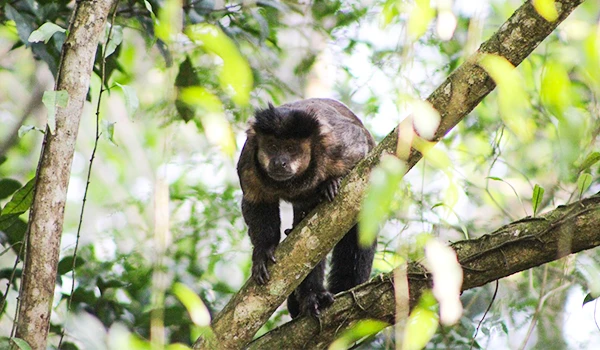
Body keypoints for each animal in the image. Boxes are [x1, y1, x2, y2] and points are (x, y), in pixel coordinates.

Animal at [238, 97, 376, 318]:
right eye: (272, 145)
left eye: (291, 148)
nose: (279, 162)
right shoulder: (249, 159)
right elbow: (256, 203)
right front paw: (263, 251)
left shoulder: (335, 144)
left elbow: (356, 144)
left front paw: (333, 181)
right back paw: (311, 298)